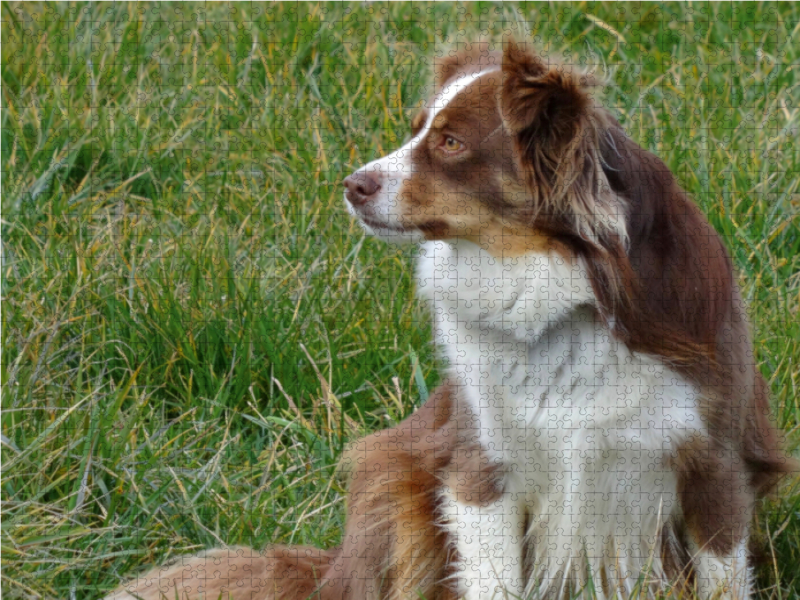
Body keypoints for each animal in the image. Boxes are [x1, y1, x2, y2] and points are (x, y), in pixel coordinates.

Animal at [109, 42, 792, 600]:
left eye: (451, 143)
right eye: (415, 131)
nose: (350, 184)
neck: (561, 286)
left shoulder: (714, 467)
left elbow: (722, 577)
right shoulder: (479, 463)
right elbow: (492, 577)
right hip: (393, 478)